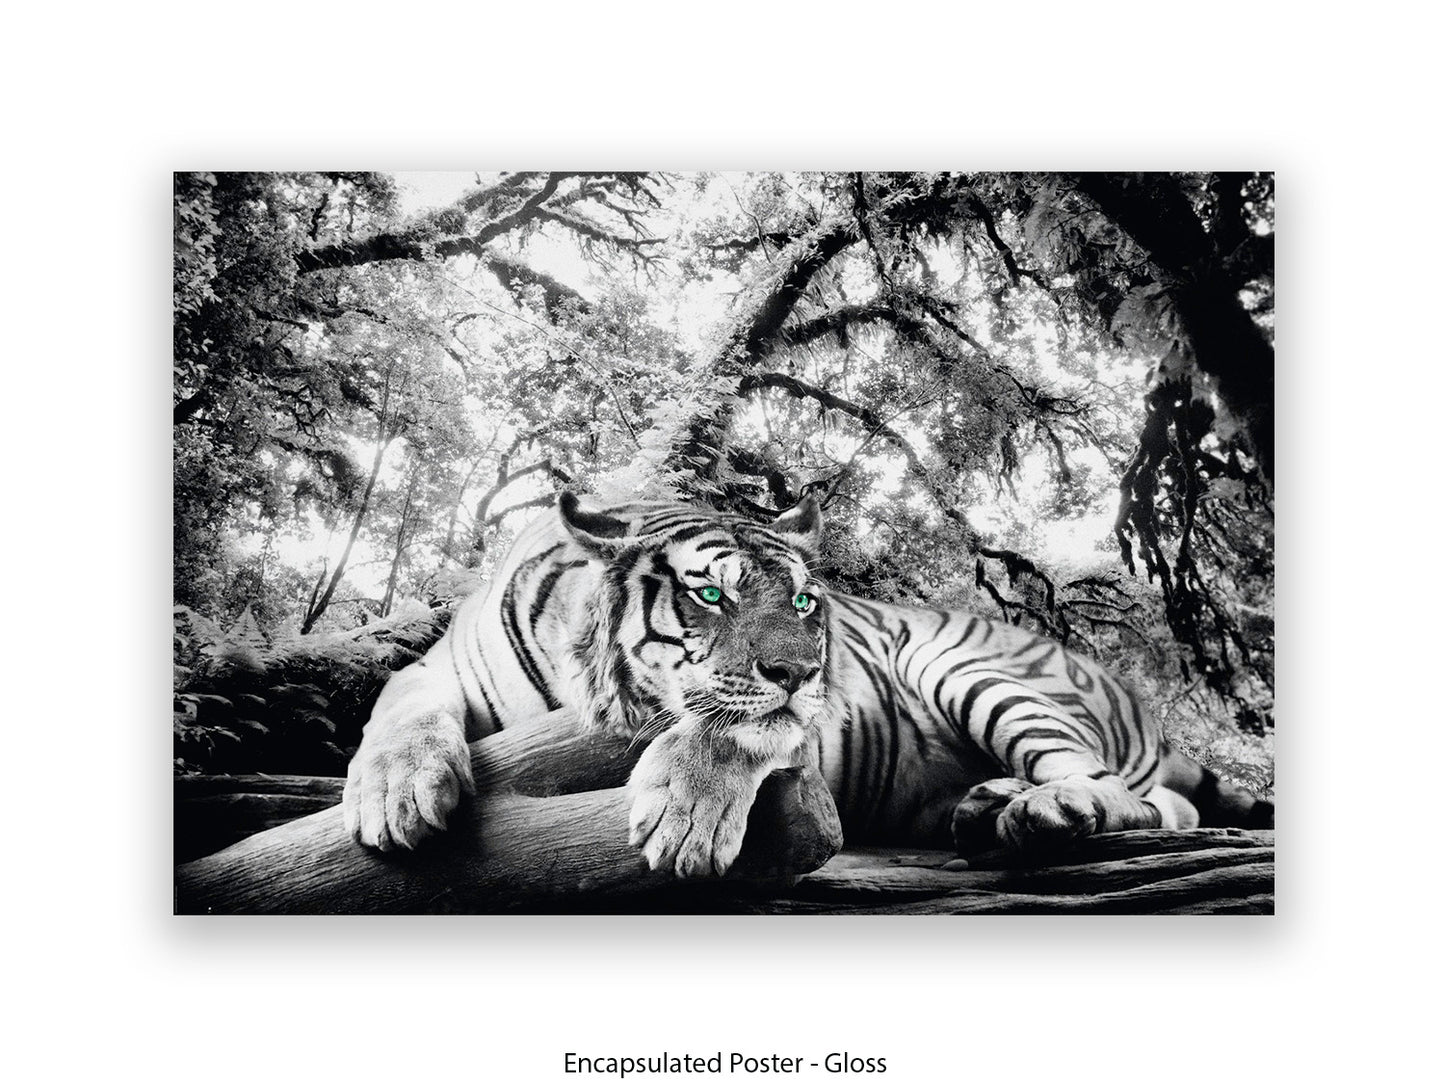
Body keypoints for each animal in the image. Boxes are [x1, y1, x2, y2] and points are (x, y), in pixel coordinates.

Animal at [342, 492, 1272, 876]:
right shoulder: (435, 668)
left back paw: (1046, 810)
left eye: (799, 600)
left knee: (1120, 791)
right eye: (710, 594)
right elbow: (399, 707)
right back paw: (984, 806)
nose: (800, 670)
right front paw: (396, 794)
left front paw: (685, 820)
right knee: (1163, 804)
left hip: (968, 670)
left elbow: (729, 728)